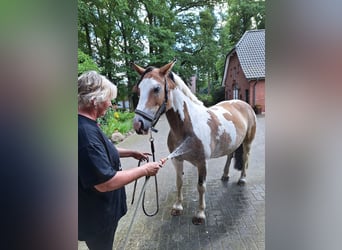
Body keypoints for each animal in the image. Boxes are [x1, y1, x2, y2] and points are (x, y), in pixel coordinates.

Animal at [132, 60, 255, 225]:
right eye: (138, 89)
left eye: (156, 88)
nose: (138, 125)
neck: (188, 127)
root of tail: (243, 103)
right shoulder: (177, 160)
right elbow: (179, 182)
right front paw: (177, 207)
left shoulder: (202, 163)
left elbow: (200, 187)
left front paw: (200, 214)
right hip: (232, 143)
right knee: (230, 156)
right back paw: (225, 175)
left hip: (247, 143)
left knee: (246, 158)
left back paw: (242, 179)